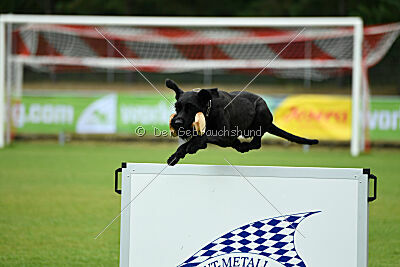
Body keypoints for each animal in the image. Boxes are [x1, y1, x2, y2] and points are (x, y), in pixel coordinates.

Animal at [166, 79, 318, 166]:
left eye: (191, 107)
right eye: (177, 107)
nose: (177, 122)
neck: (208, 109)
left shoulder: (225, 136)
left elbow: (201, 137)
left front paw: (191, 146)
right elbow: (188, 143)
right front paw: (175, 156)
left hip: (260, 112)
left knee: (256, 143)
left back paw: (243, 146)